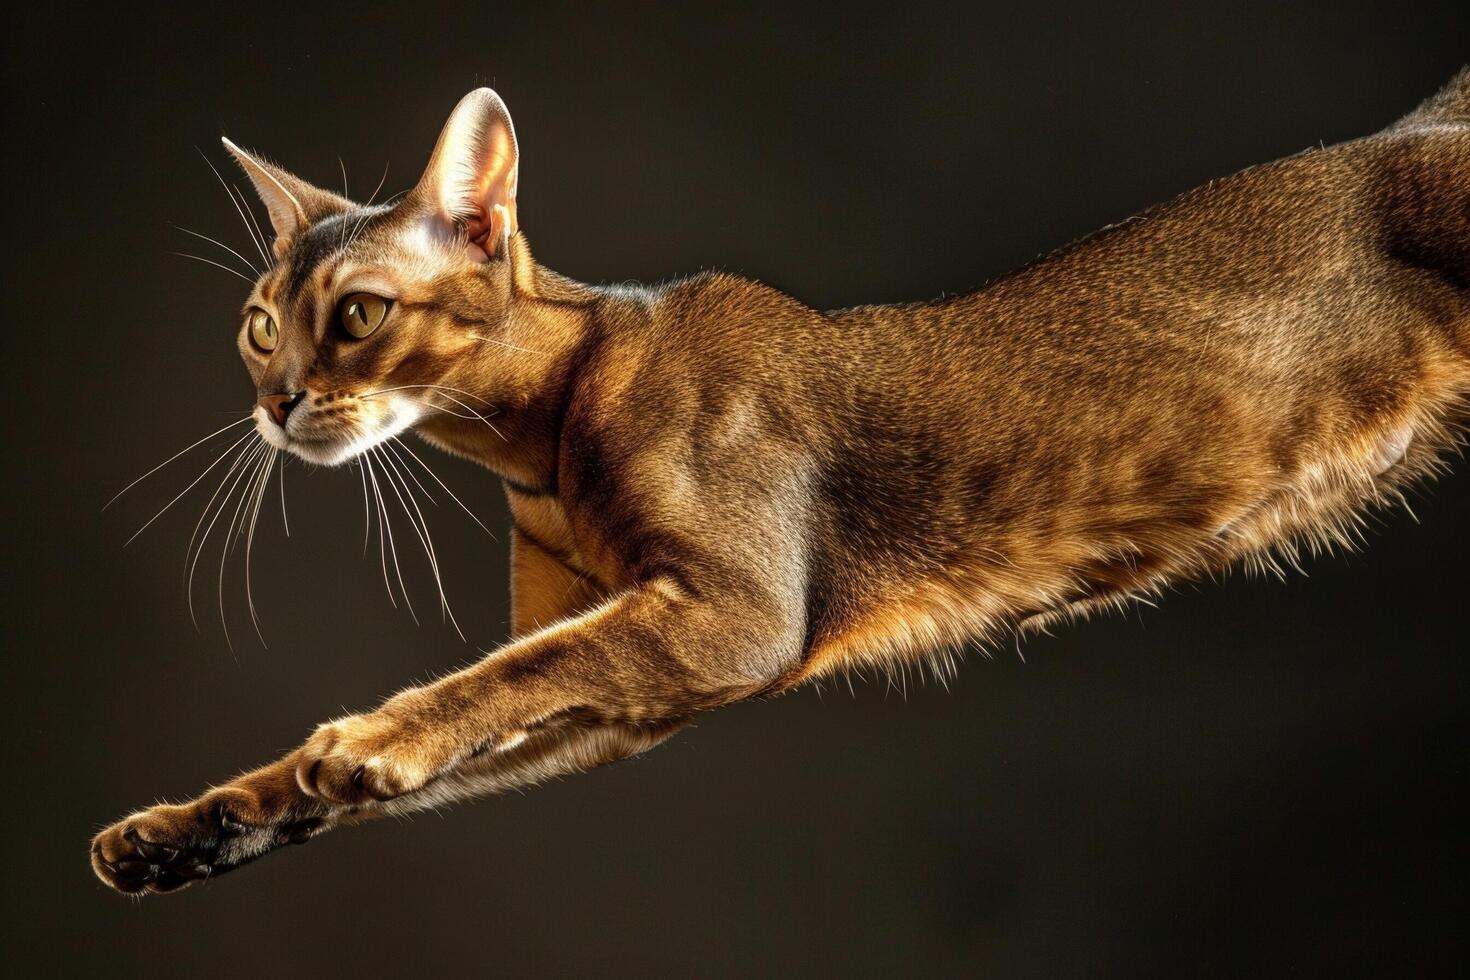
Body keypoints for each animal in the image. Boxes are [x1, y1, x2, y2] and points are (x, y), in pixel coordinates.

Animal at [91, 72, 1470, 893]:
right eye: (258, 327)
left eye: (359, 315)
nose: (273, 402)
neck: (539, 442)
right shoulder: (639, 697)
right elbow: (490, 699)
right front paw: (197, 824)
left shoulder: (736, 616)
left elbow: (495, 674)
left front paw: (367, 739)